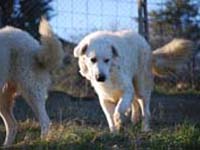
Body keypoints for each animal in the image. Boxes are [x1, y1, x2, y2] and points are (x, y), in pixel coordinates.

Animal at [0, 17, 63, 146]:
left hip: (31, 91)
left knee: (45, 121)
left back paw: (41, 143)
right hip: (4, 98)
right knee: (12, 125)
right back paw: (6, 146)